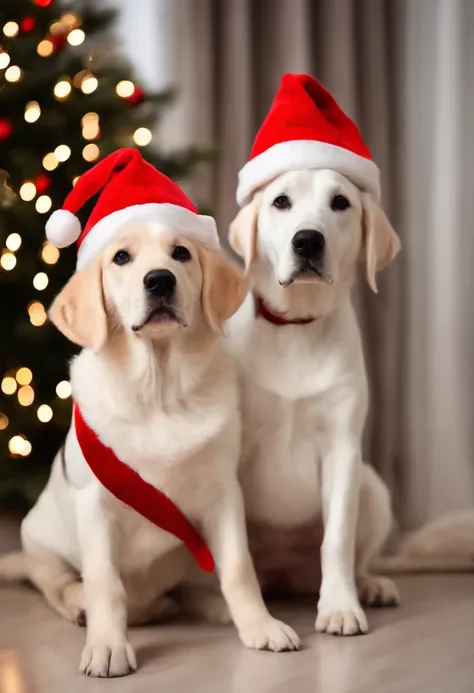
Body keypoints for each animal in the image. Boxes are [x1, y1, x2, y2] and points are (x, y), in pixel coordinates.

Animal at [0, 222, 298, 676]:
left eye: (181, 253)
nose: (159, 280)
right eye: (121, 257)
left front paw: (260, 625)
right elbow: (104, 582)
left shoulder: (223, 496)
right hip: (39, 538)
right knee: (57, 584)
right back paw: (82, 606)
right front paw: (107, 645)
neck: (158, 390)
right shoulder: (96, 506)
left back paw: (207, 605)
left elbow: (237, 569)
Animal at [226, 168, 400, 632]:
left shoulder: (342, 448)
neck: (296, 326)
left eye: (340, 202)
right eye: (280, 201)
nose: (307, 240)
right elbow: (236, 544)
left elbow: (337, 539)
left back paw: (371, 585)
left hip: (372, 488)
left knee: (357, 556)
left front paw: (340, 607)